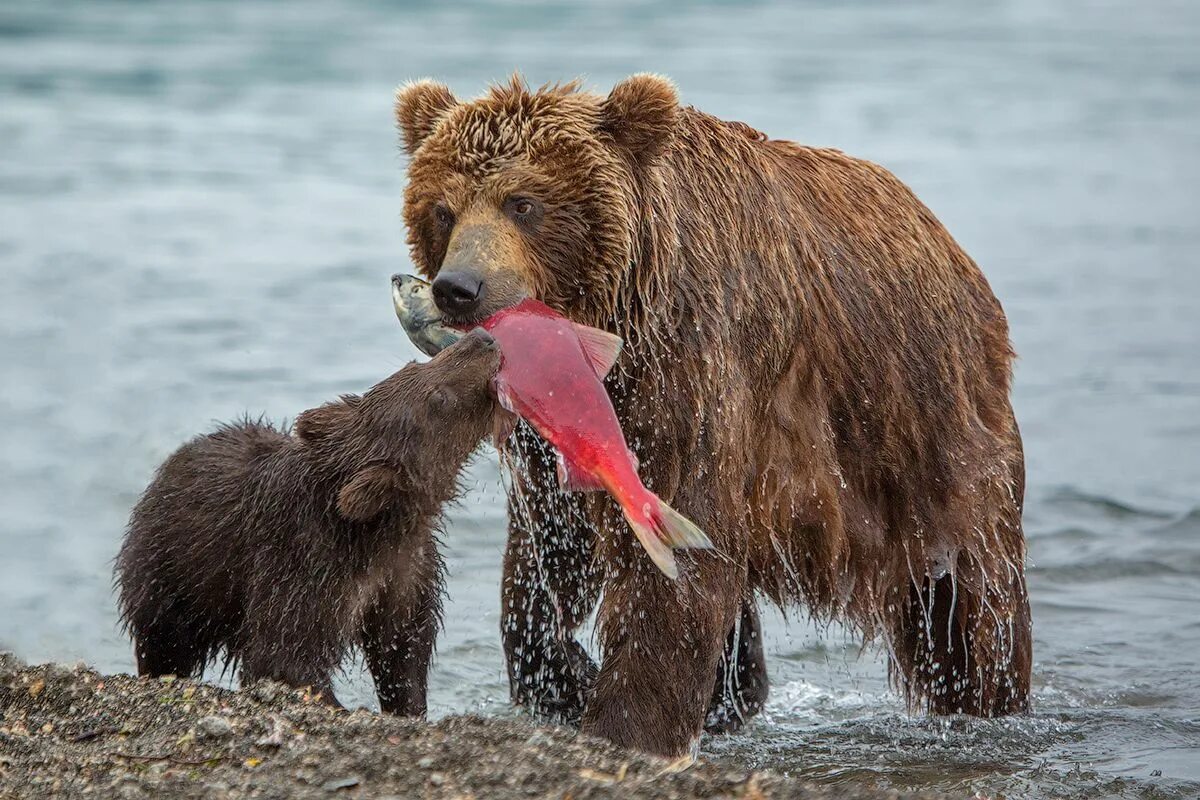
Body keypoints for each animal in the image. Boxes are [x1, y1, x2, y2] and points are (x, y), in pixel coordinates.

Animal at [114, 328, 499, 714]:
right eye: (438, 398)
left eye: (414, 365)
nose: (483, 339)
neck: (376, 533)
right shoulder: (306, 563)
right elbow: (285, 654)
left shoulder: (407, 570)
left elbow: (404, 647)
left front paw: (409, 705)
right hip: (171, 570)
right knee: (165, 640)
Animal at [393, 74, 1032, 758]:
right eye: (443, 209)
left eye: (524, 203)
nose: (459, 288)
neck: (619, 316)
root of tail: (947, 242)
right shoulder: (561, 437)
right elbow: (548, 557)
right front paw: (566, 680)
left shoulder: (693, 371)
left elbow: (676, 566)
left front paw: (627, 722)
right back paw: (734, 696)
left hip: (925, 435)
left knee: (971, 603)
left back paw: (987, 700)